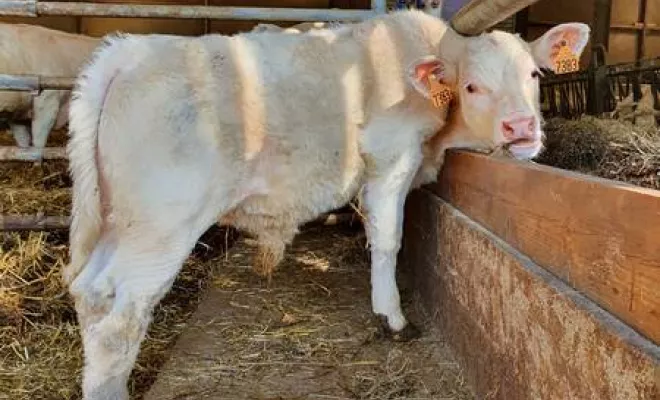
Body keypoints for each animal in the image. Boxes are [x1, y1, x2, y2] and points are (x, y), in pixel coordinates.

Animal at [63, 10, 588, 400]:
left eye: (534, 74)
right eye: (472, 86)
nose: (522, 128)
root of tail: (131, 50)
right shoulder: (392, 157)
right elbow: (388, 238)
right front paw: (391, 316)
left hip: (119, 221)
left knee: (91, 294)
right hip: (161, 227)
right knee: (119, 321)